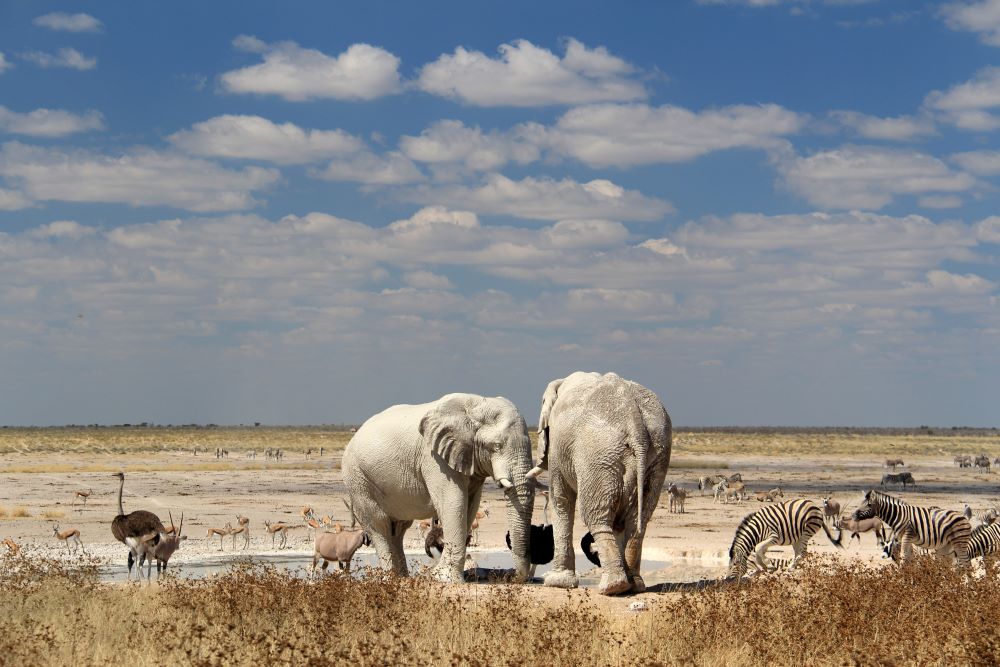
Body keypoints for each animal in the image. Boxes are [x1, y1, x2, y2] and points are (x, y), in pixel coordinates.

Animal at [342, 394, 536, 580]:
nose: (512, 575)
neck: (476, 405)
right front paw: (445, 577)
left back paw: (402, 577)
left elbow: (470, 506)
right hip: (357, 478)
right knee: (379, 524)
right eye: (497, 446)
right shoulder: (434, 459)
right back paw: (389, 579)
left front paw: (441, 575)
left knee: (398, 529)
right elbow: (454, 503)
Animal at [524, 374, 672, 596]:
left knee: (595, 516)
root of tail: (634, 420)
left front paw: (557, 582)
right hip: (655, 455)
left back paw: (612, 587)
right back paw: (634, 585)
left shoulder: (559, 448)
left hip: (597, 454)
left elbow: (561, 500)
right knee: (638, 519)